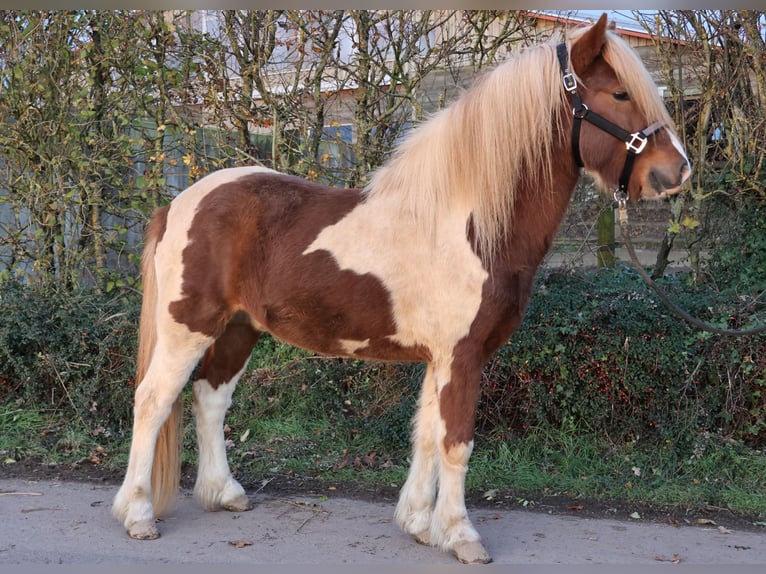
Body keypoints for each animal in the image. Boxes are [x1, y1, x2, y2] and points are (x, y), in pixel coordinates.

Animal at [114, 15, 696, 564]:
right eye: (619, 94)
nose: (678, 171)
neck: (469, 223)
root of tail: (178, 204)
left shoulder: (441, 357)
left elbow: (426, 436)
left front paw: (419, 524)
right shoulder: (462, 356)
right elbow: (456, 442)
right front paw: (460, 535)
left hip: (239, 328)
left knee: (211, 397)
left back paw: (225, 493)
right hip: (187, 328)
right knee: (153, 401)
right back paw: (138, 514)